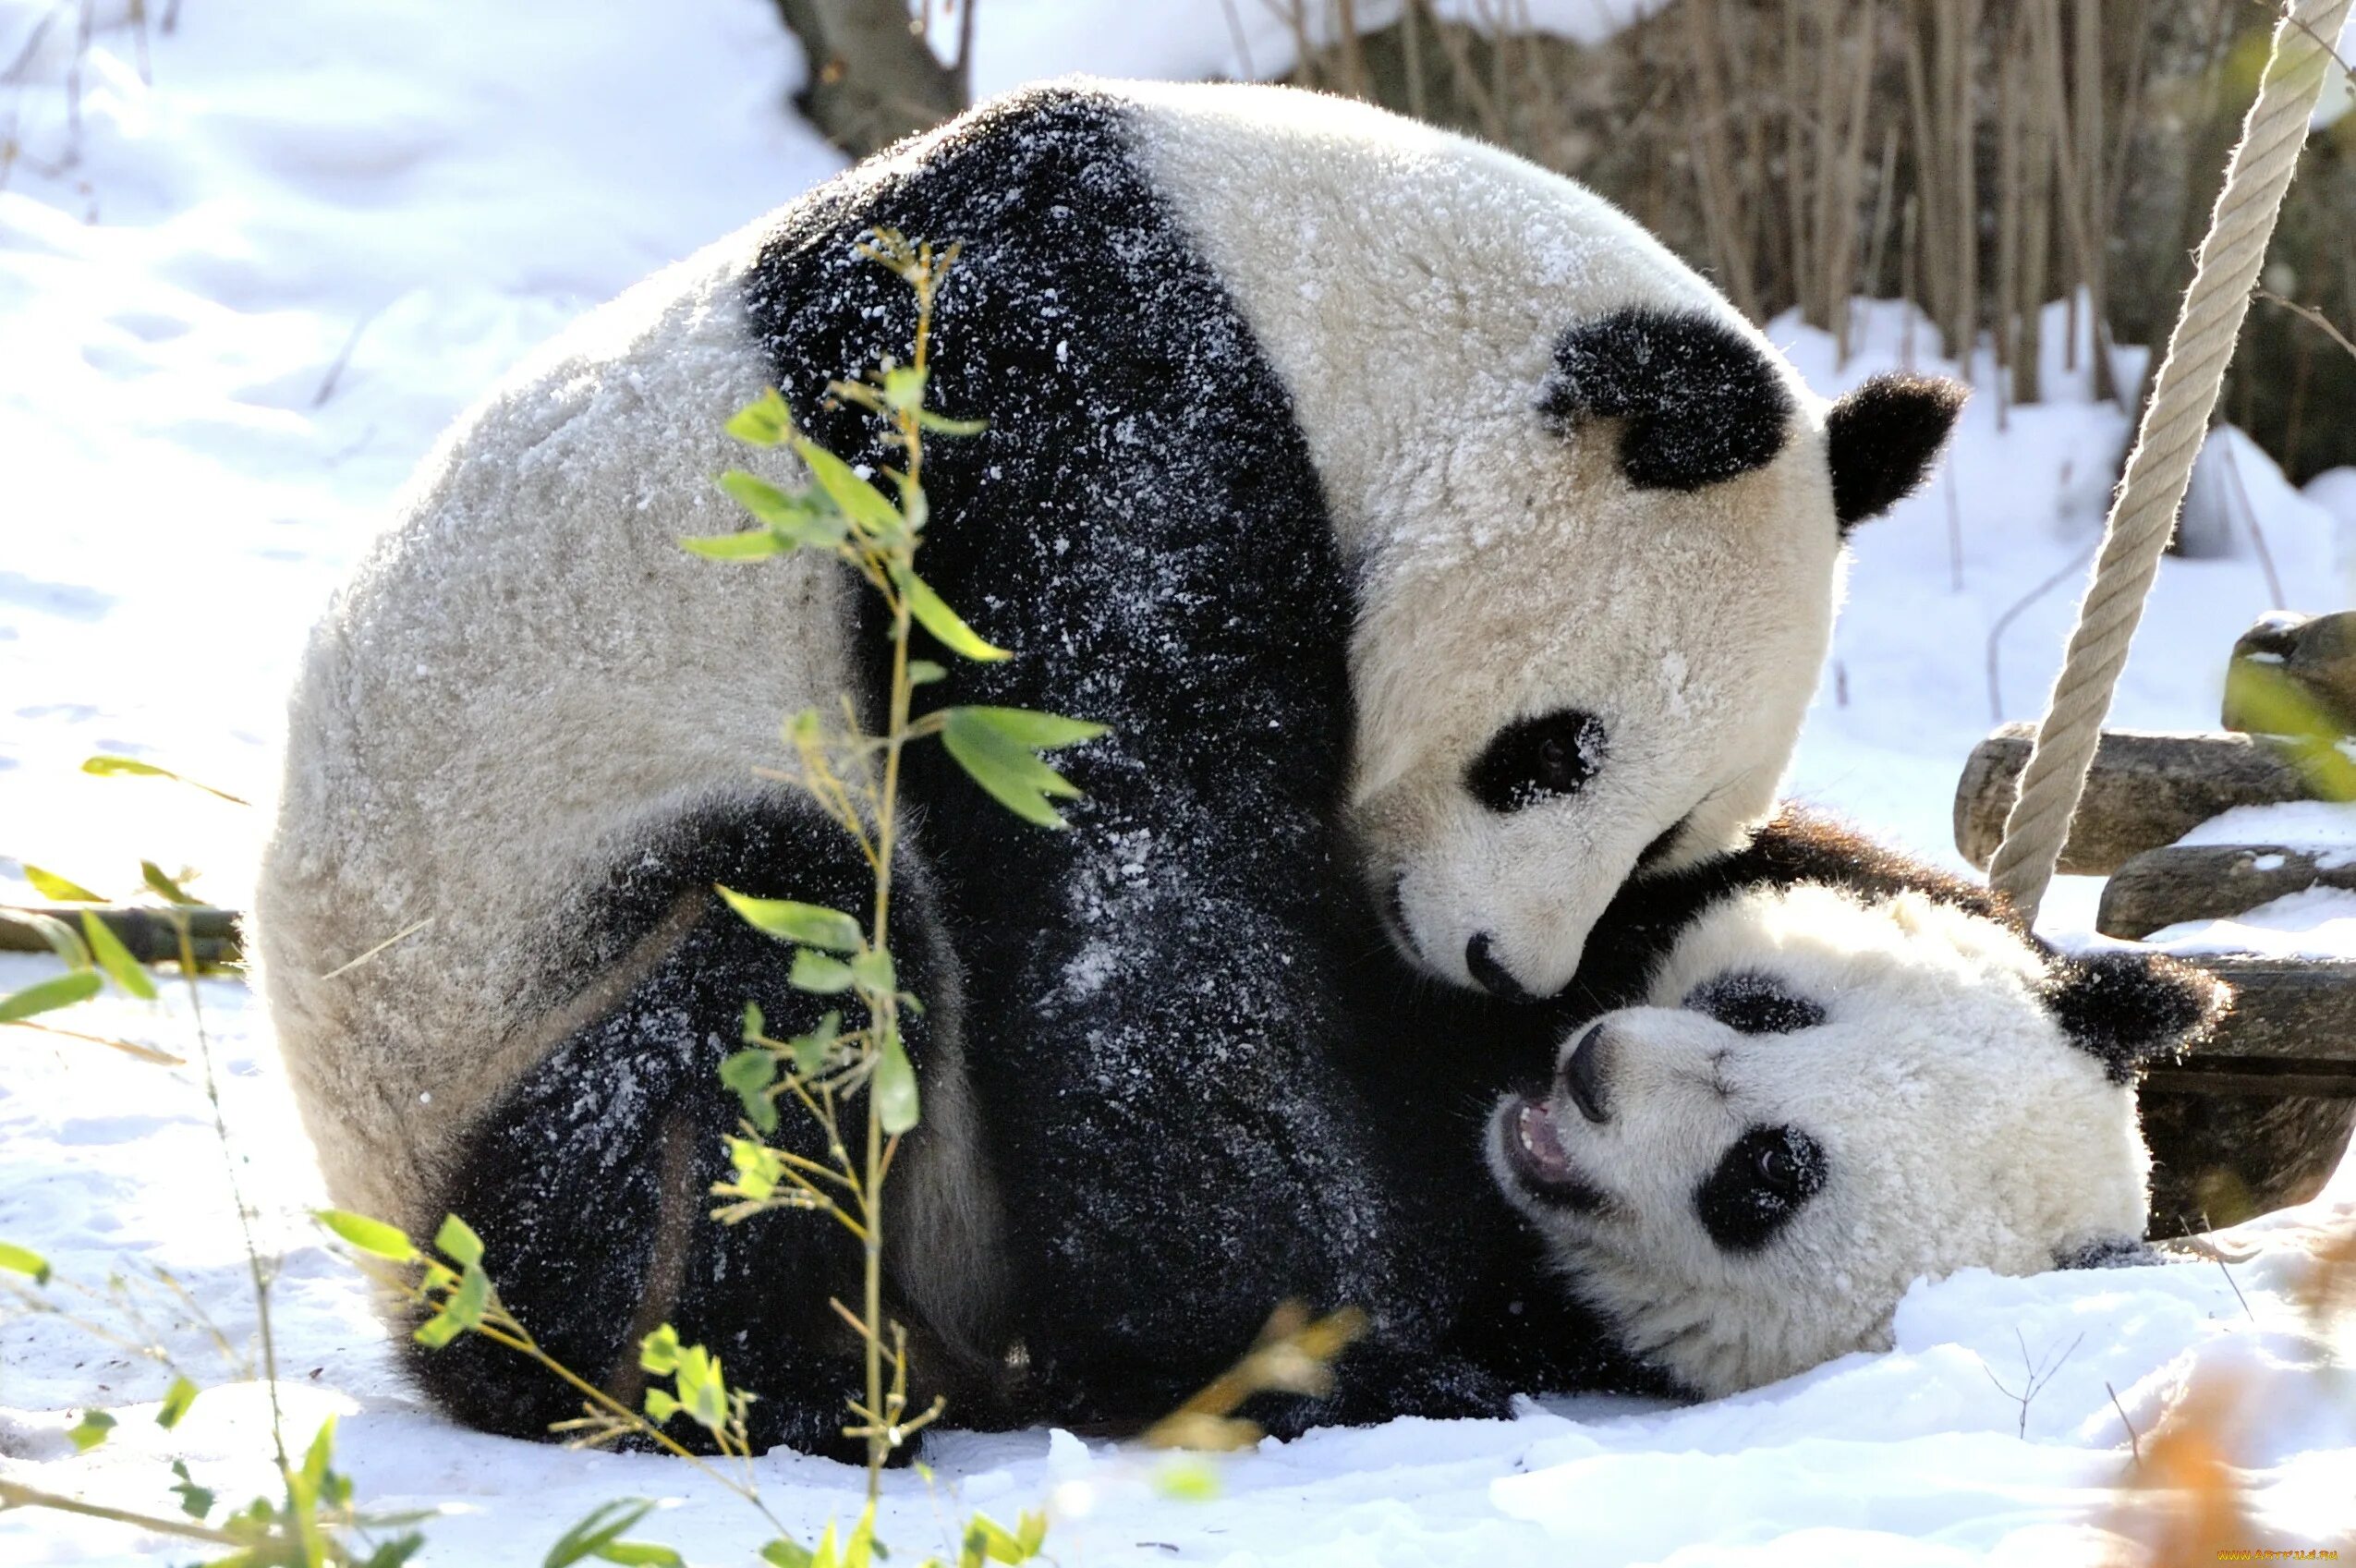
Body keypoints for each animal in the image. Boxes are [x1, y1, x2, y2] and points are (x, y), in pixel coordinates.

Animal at [253, 82, 1969, 1452]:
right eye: (1552, 752)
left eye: (1669, 837)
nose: (1505, 967)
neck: (1319, 296)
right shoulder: (1062, 403)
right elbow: (1132, 890)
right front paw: (1332, 1359)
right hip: (485, 1014)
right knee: (750, 992)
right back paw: (764, 1388)